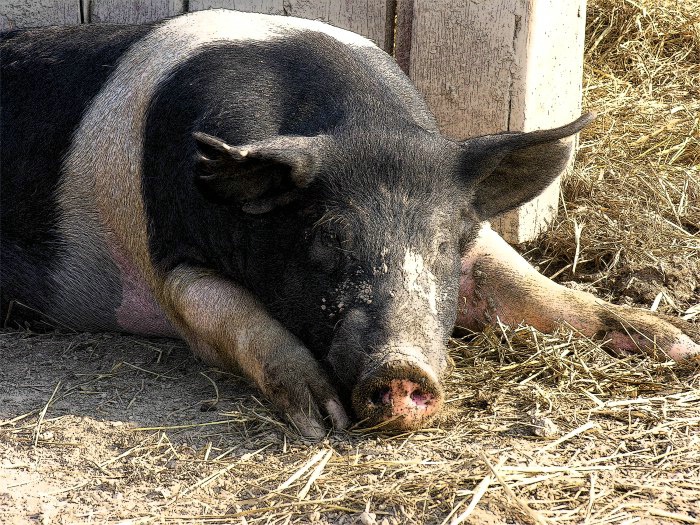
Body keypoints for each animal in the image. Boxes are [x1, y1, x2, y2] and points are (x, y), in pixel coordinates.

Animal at [1, 9, 700, 438]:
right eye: (323, 243)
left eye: (442, 246)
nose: (402, 369)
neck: (360, 132)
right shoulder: (167, 256)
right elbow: (232, 318)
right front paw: (324, 418)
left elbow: (528, 285)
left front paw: (677, 344)